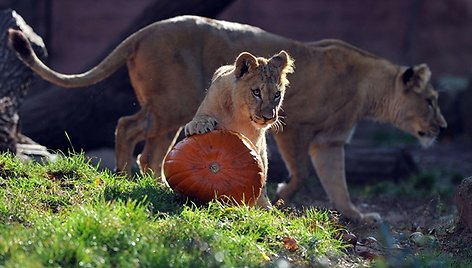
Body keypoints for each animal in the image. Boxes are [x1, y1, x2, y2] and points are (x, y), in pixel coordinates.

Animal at [183, 50, 292, 207]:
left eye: (277, 95)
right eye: (256, 92)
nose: (268, 117)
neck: (240, 116)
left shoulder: (257, 145)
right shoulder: (206, 107)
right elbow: (200, 118)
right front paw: (199, 125)